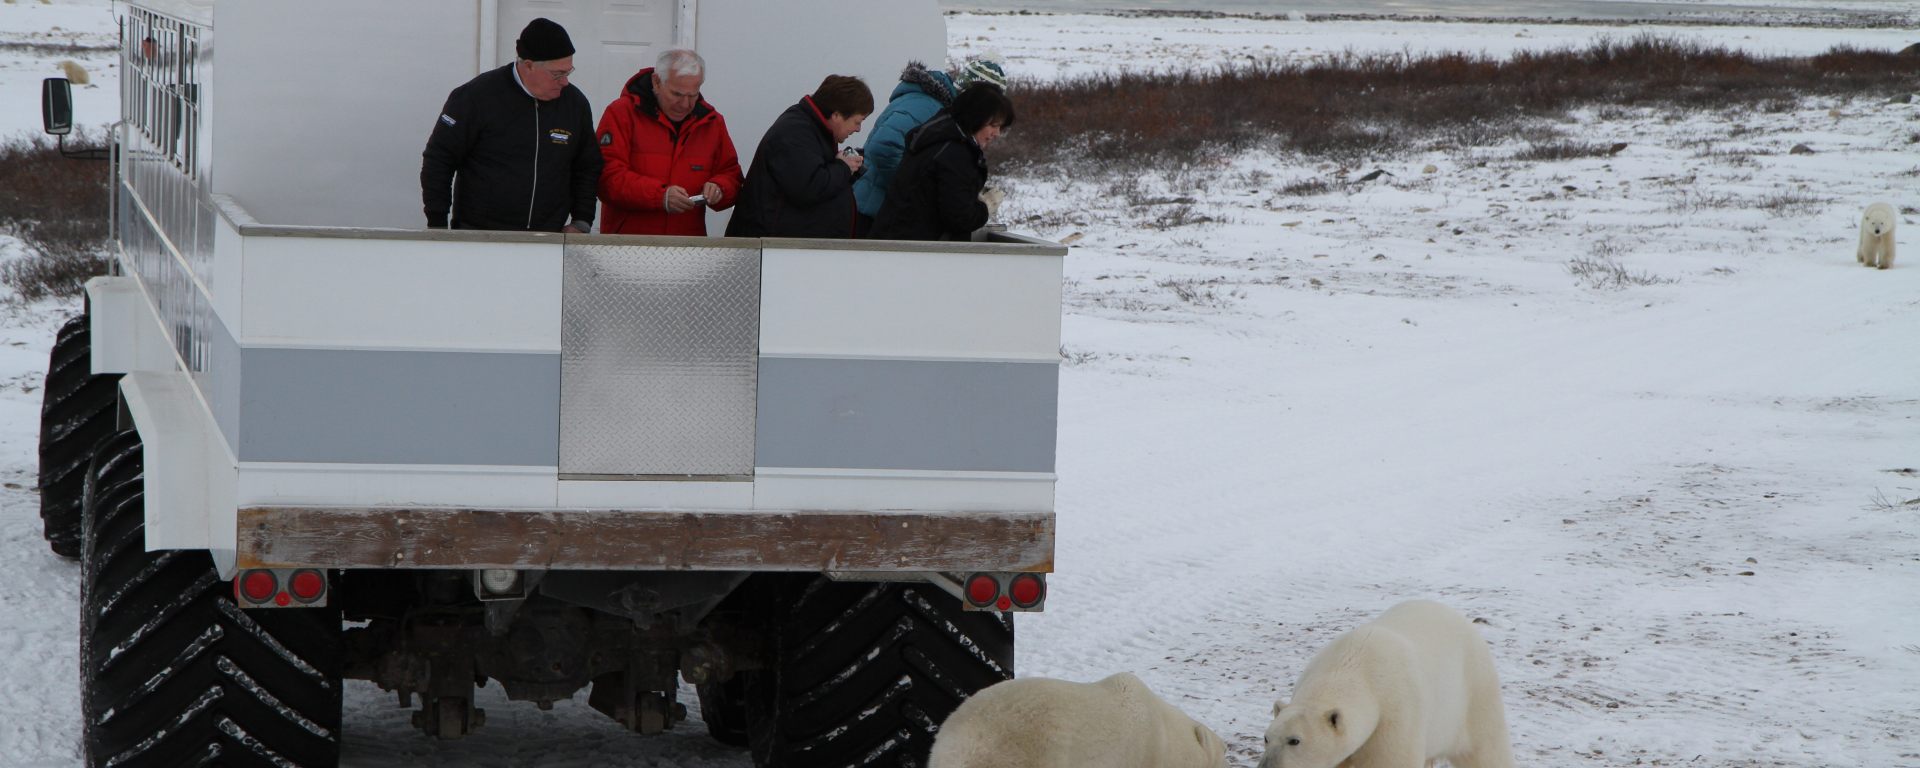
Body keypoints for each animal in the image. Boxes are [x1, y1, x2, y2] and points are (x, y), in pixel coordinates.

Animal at [1258, 600, 1514, 768]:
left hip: (1472, 696)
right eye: (1266, 737)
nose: (1267, 767)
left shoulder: (1395, 717)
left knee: (1486, 751)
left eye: (1295, 740)